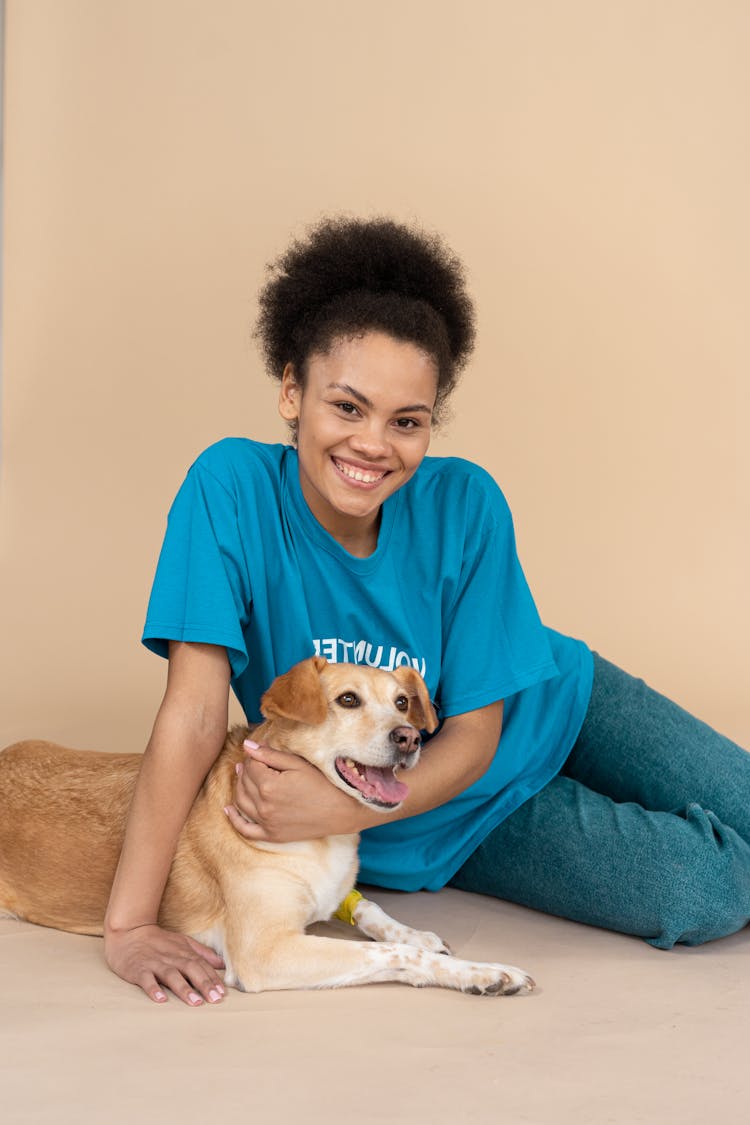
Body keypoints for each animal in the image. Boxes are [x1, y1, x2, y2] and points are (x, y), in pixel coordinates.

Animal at [1, 657, 532, 999]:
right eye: (347, 700)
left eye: (402, 702)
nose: (409, 738)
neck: (322, 837)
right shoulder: (268, 952)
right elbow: (391, 956)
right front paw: (478, 970)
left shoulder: (333, 896)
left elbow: (372, 911)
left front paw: (417, 933)